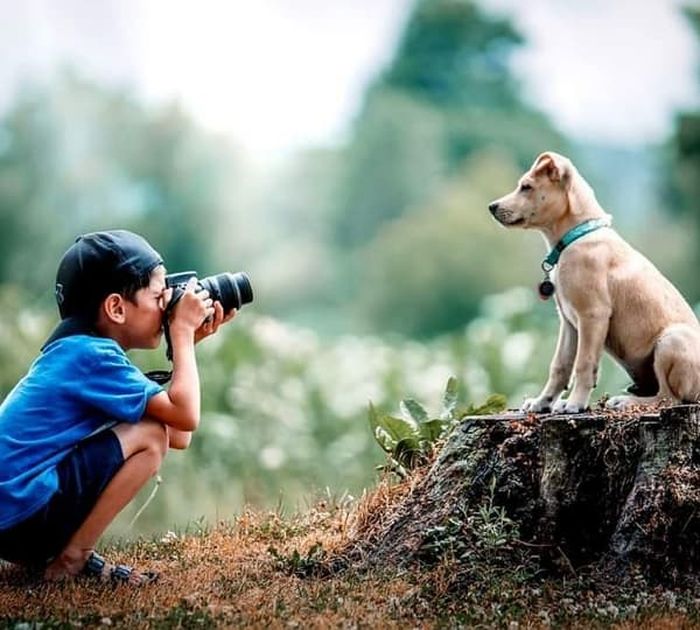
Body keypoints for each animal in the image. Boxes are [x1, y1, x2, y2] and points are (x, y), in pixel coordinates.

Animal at [486, 150, 700, 412]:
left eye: (526, 187)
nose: (492, 207)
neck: (575, 236)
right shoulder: (569, 322)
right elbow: (560, 366)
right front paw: (542, 402)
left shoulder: (592, 315)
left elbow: (584, 364)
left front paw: (575, 404)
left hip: (671, 341)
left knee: (669, 397)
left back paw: (626, 401)